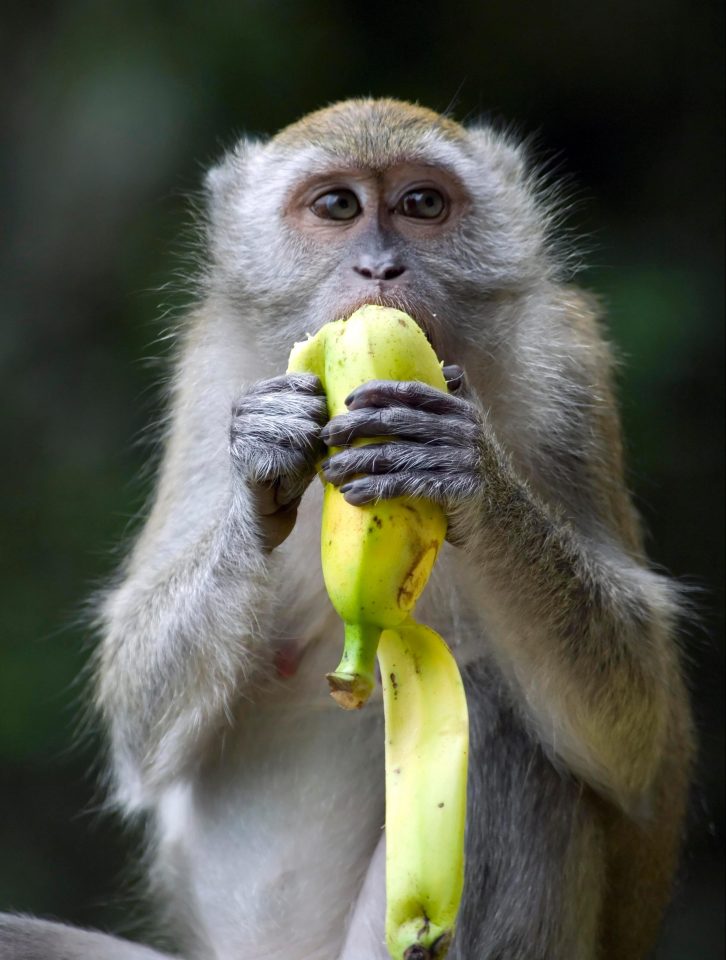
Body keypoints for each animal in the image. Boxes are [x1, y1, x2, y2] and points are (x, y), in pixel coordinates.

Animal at [0, 99, 696, 960]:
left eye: (422, 204)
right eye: (337, 206)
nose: (380, 269)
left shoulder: (567, 369)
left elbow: (636, 730)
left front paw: (464, 466)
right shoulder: (208, 373)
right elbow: (137, 715)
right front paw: (263, 463)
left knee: (505, 724)